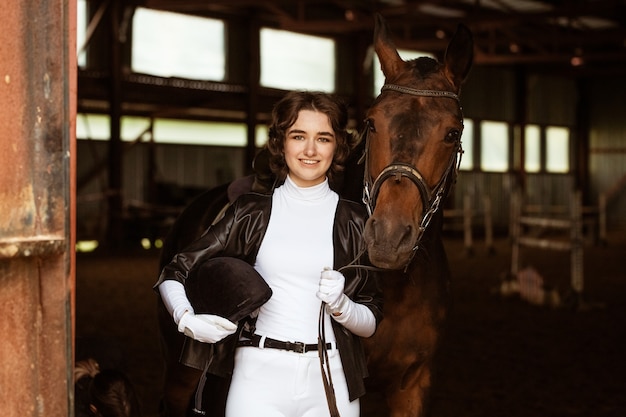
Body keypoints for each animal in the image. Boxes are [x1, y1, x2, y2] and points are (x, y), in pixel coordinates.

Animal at [154, 14, 470, 416]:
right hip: (180, 373)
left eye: (452, 132)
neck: (397, 288)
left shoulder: (413, 384)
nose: (388, 237)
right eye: (372, 122)